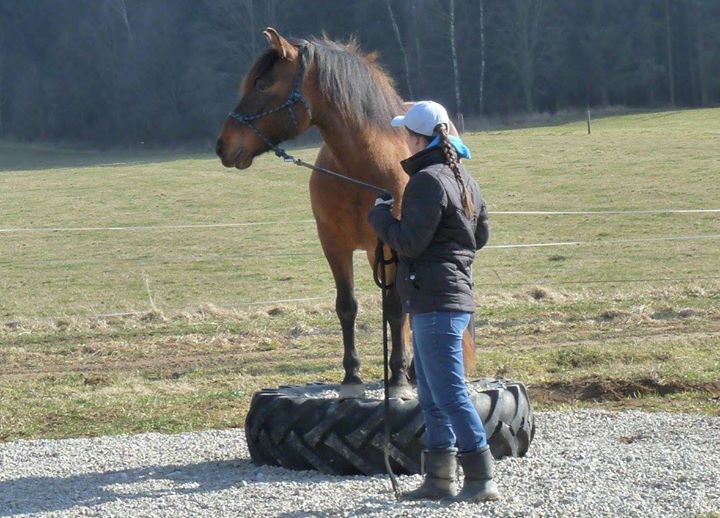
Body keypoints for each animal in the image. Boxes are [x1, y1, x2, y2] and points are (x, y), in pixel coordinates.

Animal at [214, 28, 472, 400]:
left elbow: (395, 309)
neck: (360, 170)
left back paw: (409, 370)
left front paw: (396, 377)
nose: (223, 144)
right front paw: (351, 376)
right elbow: (346, 306)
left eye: (263, 84)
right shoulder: (334, 245)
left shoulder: (393, 246)